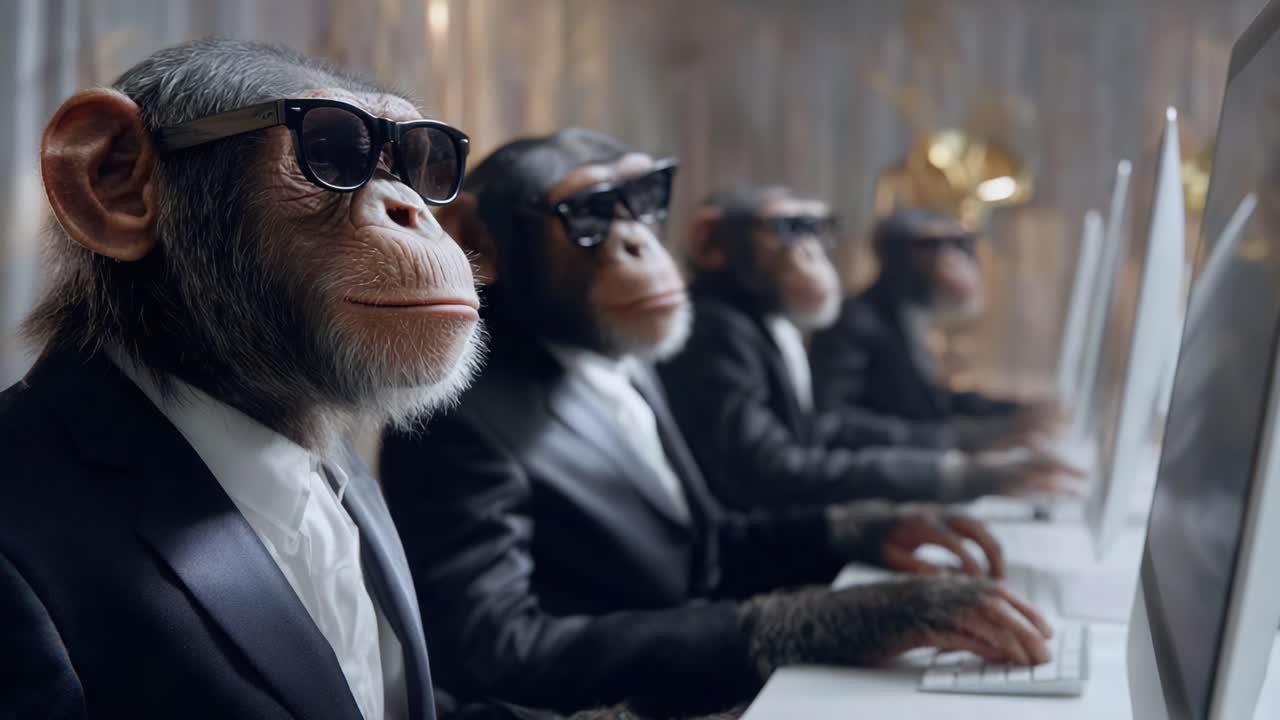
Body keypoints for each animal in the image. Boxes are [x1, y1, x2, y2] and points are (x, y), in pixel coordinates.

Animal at [809, 207, 1066, 452]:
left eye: (960, 243)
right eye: (929, 244)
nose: (954, 258)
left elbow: (946, 393)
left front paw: (1024, 408)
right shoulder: (851, 328)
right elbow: (839, 414)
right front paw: (990, 435)